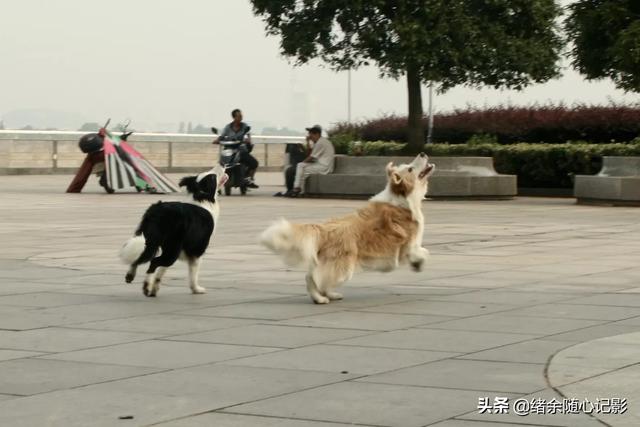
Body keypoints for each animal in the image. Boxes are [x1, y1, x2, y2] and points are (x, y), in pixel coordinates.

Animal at [118, 165, 228, 298]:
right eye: (212, 177)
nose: (222, 164)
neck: (202, 198)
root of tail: (156, 211)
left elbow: (161, 272)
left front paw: (155, 288)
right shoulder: (197, 250)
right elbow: (193, 273)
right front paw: (196, 289)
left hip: (155, 242)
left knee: (141, 257)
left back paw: (131, 276)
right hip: (172, 249)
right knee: (153, 262)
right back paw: (146, 285)